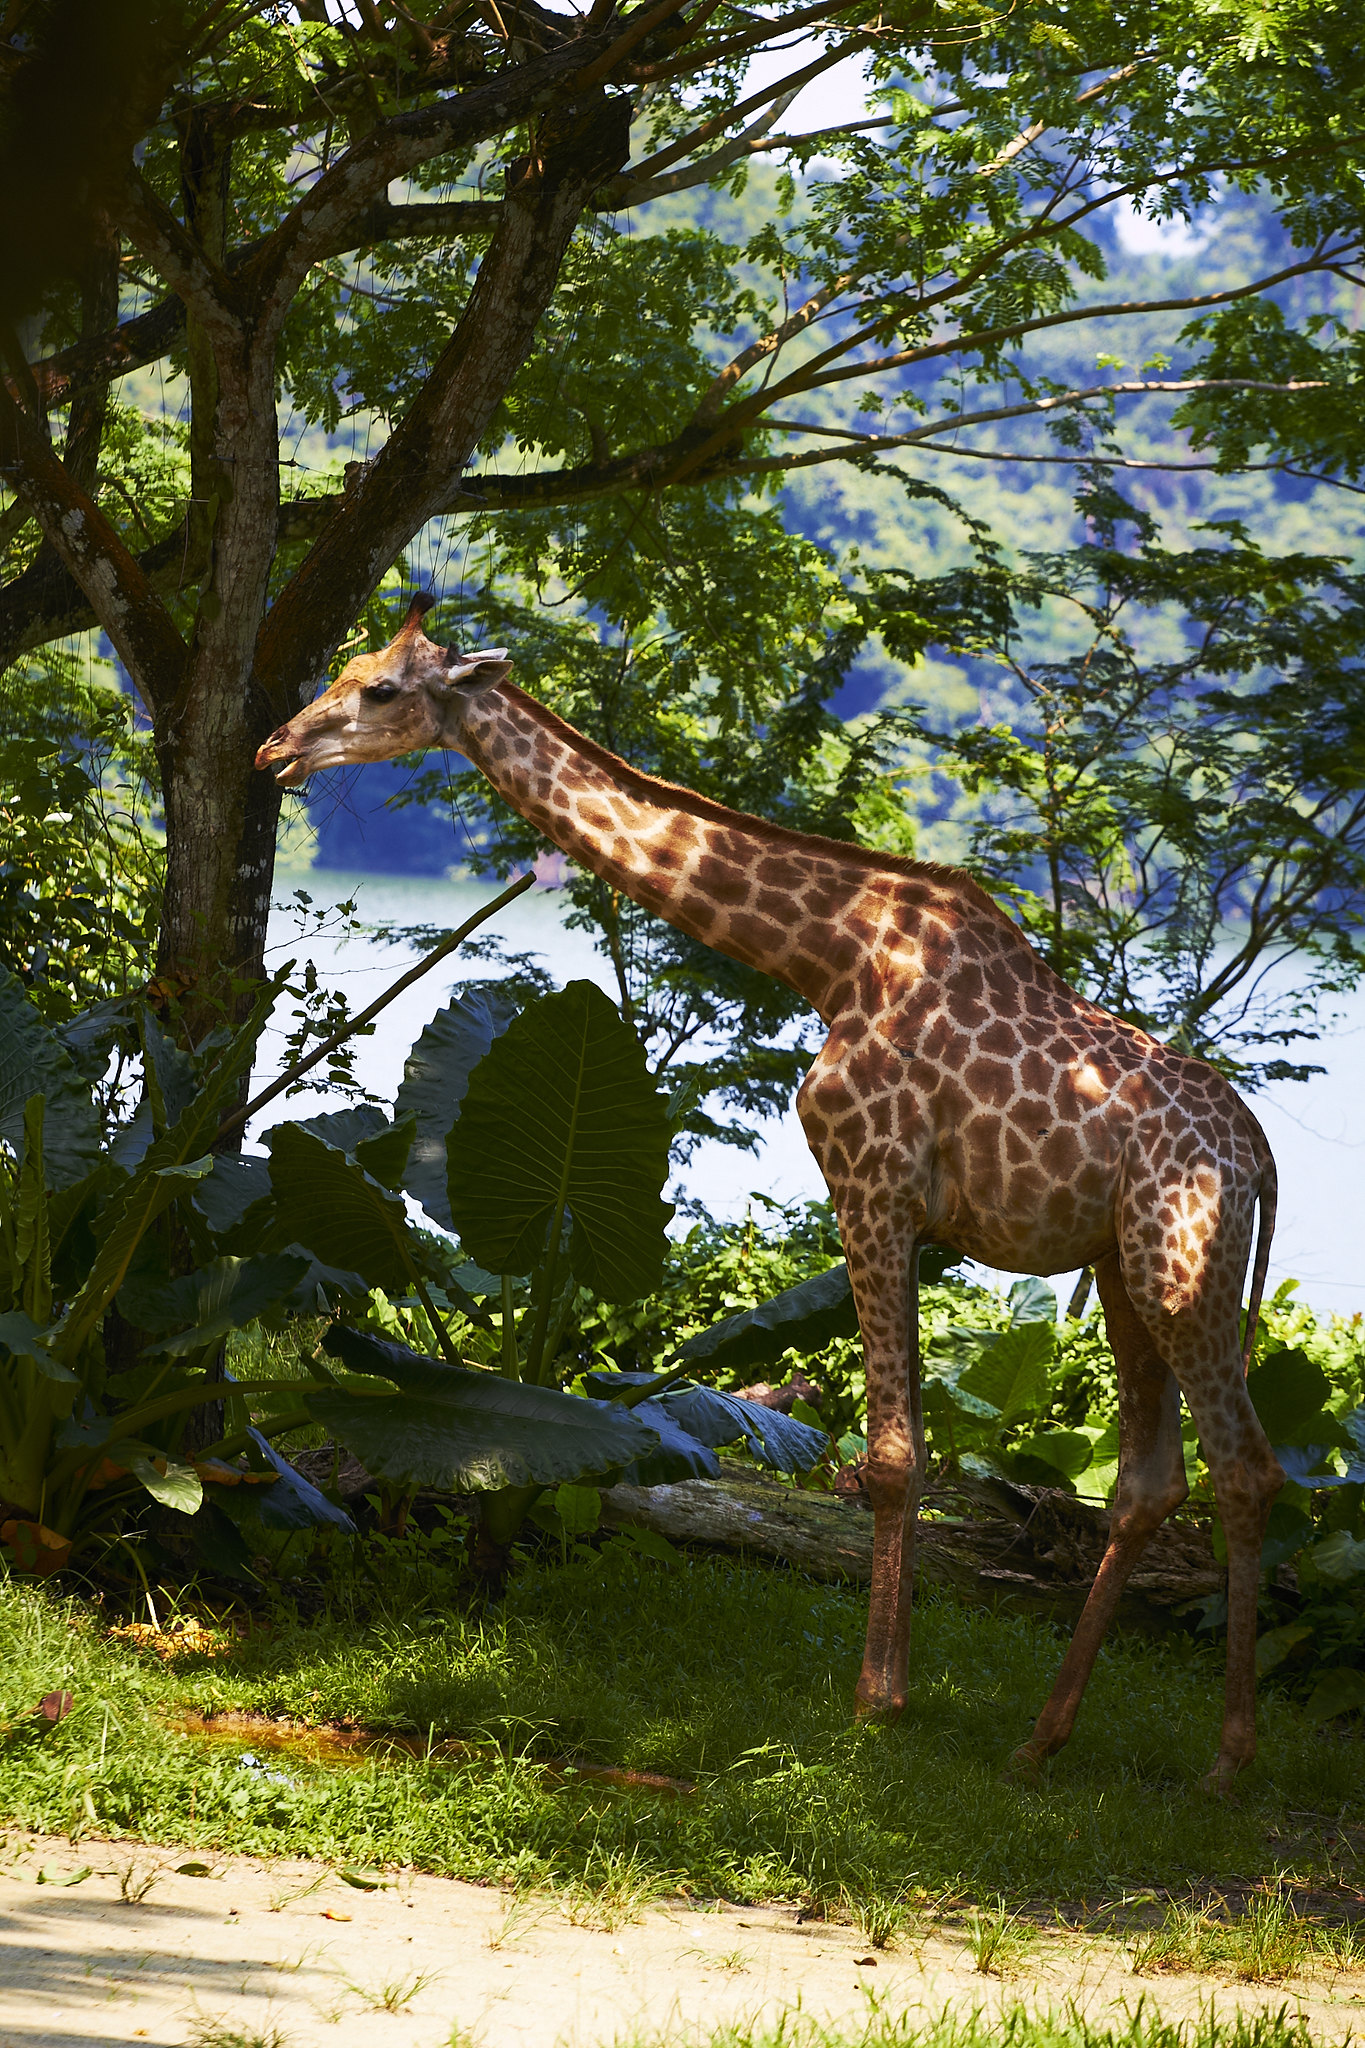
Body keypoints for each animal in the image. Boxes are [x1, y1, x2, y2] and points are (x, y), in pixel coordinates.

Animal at [253, 598, 1285, 1794]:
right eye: (345, 662)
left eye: (378, 689)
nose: (274, 749)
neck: (829, 960)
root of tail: (1257, 1156)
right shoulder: (899, 1202)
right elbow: (903, 1451)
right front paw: (898, 1693)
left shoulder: (874, 1181)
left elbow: (893, 1456)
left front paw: (877, 1701)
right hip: (1125, 1266)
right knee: (1150, 1482)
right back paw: (1042, 1737)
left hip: (1183, 1267)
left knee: (1246, 1468)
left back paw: (1227, 1762)